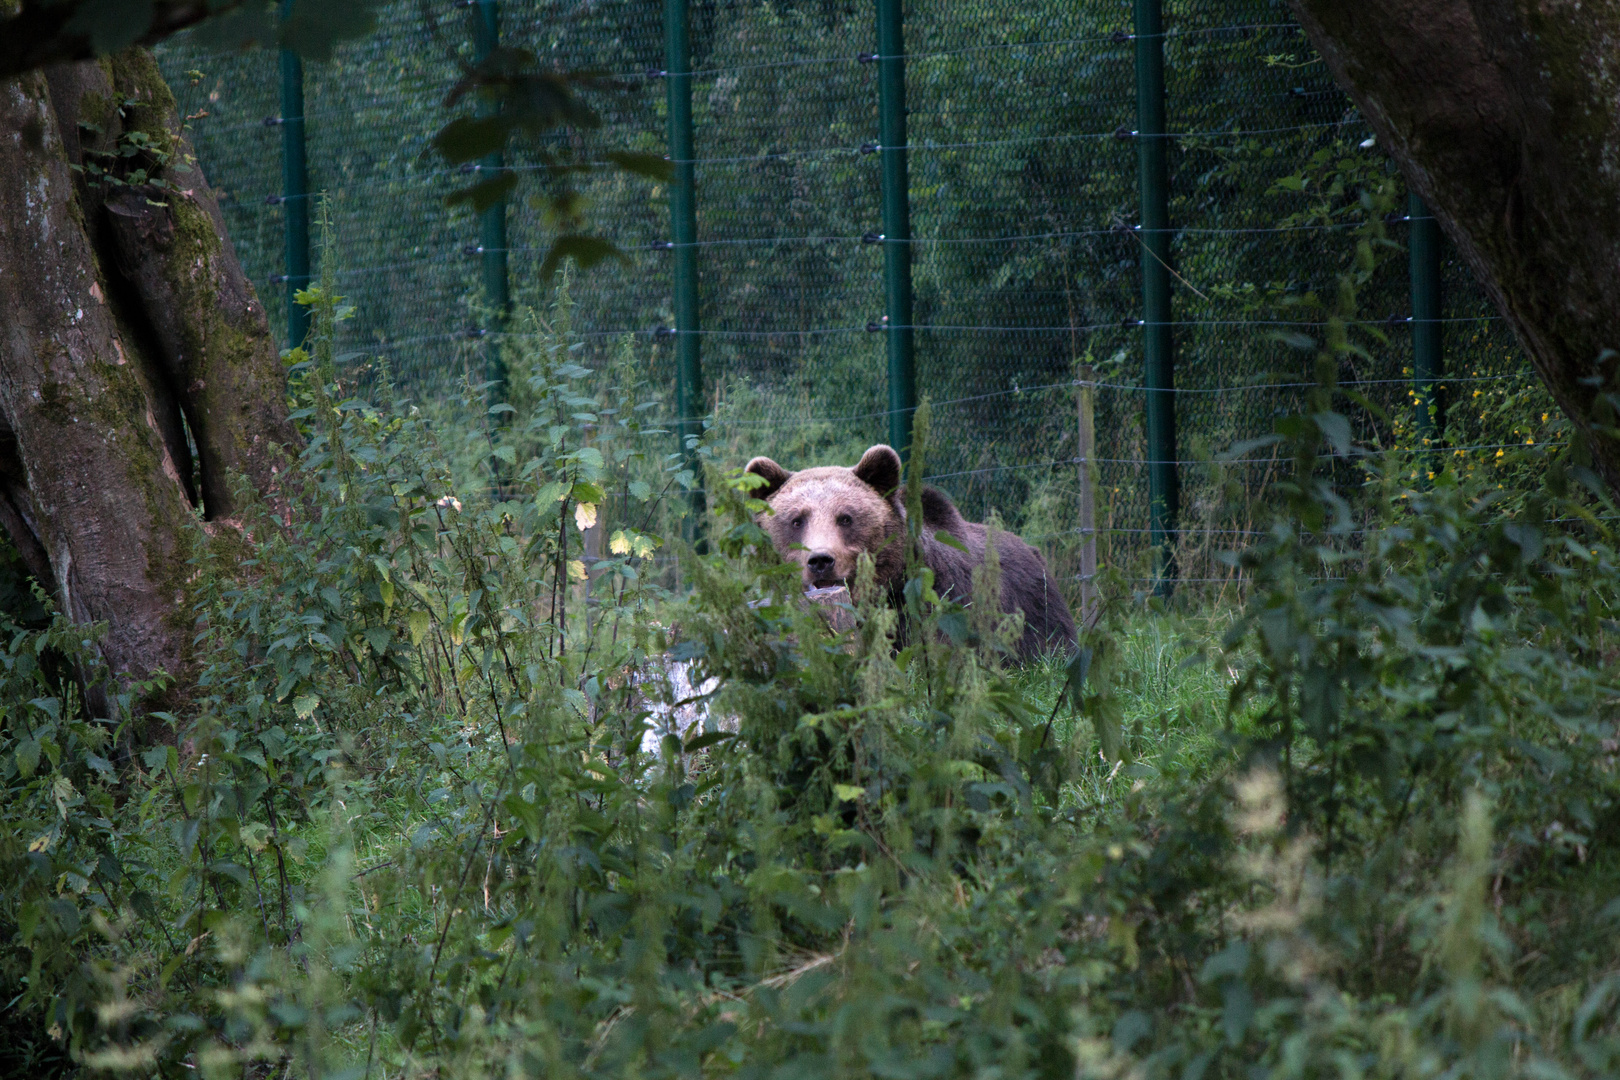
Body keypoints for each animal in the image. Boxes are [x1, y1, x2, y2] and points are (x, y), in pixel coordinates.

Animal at [741, 440, 1075, 660]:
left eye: (846, 518)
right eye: (796, 520)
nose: (821, 560)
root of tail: (1032, 549)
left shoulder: (935, 602)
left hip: (1035, 609)